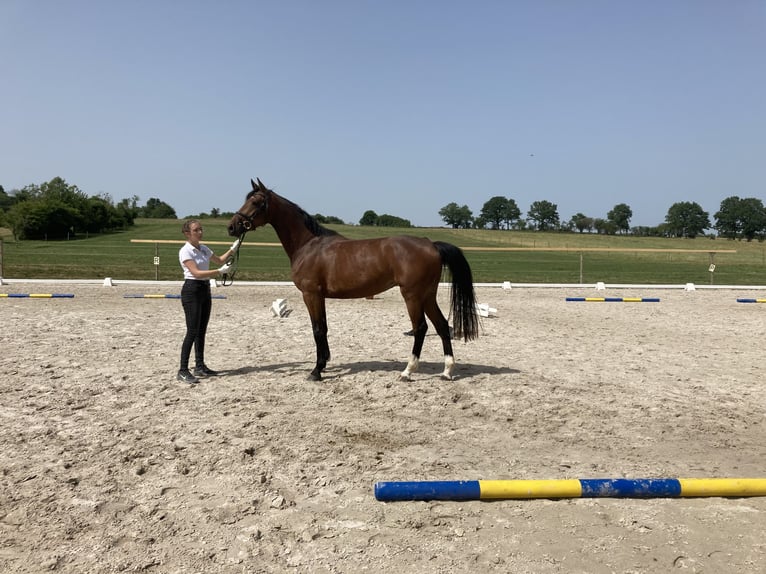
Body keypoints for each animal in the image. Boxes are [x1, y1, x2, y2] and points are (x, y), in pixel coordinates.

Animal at [228, 179, 480, 382]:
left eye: (256, 202)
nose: (232, 227)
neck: (308, 245)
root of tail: (431, 244)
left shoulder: (311, 294)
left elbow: (317, 330)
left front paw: (316, 371)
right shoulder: (319, 297)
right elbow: (323, 328)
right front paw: (324, 364)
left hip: (412, 295)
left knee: (421, 328)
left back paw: (408, 371)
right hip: (427, 295)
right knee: (442, 326)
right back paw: (447, 372)